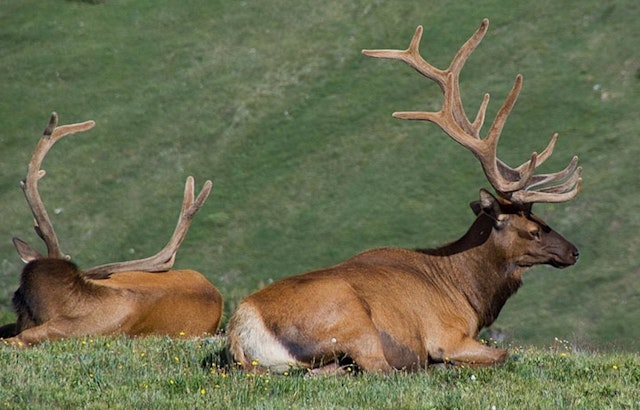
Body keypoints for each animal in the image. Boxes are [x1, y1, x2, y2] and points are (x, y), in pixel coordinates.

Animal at [227, 18, 582, 373]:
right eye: (534, 230)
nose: (574, 251)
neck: (468, 295)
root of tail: (241, 331)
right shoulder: (446, 334)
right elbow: (505, 354)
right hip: (354, 321)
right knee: (377, 369)